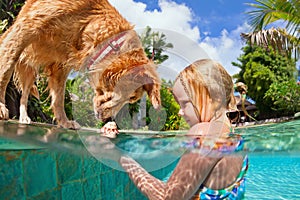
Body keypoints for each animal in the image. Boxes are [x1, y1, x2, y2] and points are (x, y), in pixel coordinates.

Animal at [0, 0, 162, 129]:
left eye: (132, 99)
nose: (108, 120)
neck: (89, 21)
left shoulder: (61, 65)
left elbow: (58, 97)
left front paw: (64, 122)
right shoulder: (25, 29)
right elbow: (5, 72)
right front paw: (1, 107)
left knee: (24, 94)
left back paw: (24, 117)